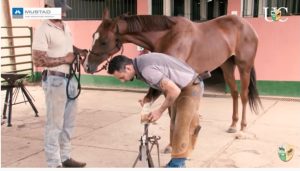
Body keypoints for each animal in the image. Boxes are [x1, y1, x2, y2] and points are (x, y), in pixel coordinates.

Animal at [83, 9, 262, 134]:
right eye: (92, 36)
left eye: (104, 41)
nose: (86, 66)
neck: (167, 35)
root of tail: (247, 26)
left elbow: (171, 110)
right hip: (227, 66)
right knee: (234, 94)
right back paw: (233, 125)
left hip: (244, 67)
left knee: (244, 95)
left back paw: (242, 128)